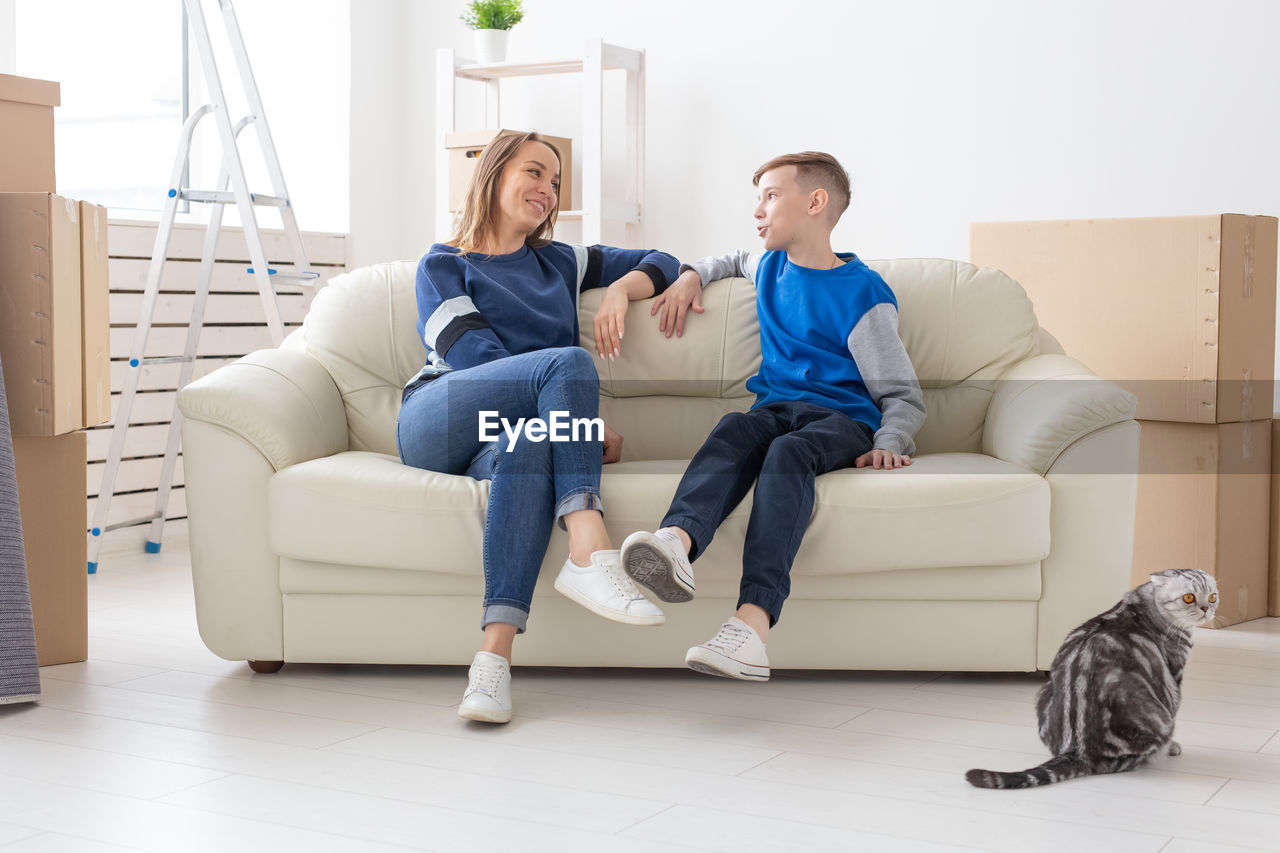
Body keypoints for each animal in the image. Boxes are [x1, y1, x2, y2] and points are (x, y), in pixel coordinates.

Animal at [962, 568, 1213, 788]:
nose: (1205, 609)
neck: (1146, 604)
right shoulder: (1174, 678)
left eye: (1212, 596)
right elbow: (1175, 708)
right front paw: (1173, 747)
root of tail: (1079, 751)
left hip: (1042, 693)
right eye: (1188, 598)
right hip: (1156, 715)